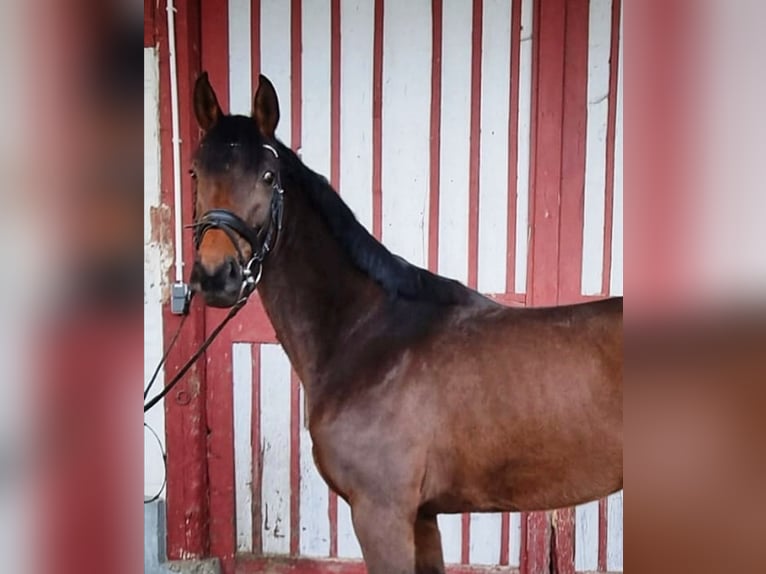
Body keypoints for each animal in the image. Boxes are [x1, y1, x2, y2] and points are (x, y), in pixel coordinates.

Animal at [190, 73, 624, 574]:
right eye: (196, 172)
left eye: (268, 176)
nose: (217, 276)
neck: (368, 337)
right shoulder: (423, 517)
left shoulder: (382, 514)